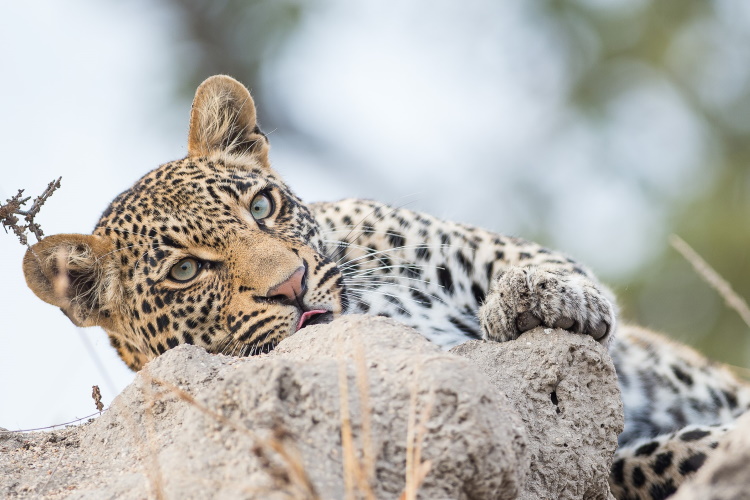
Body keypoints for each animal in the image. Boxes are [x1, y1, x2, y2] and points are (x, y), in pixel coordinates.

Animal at [22, 75, 750, 500]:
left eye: (261, 206)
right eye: (185, 271)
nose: (291, 284)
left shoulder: (467, 246)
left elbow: (539, 266)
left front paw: (537, 297)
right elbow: (637, 462)